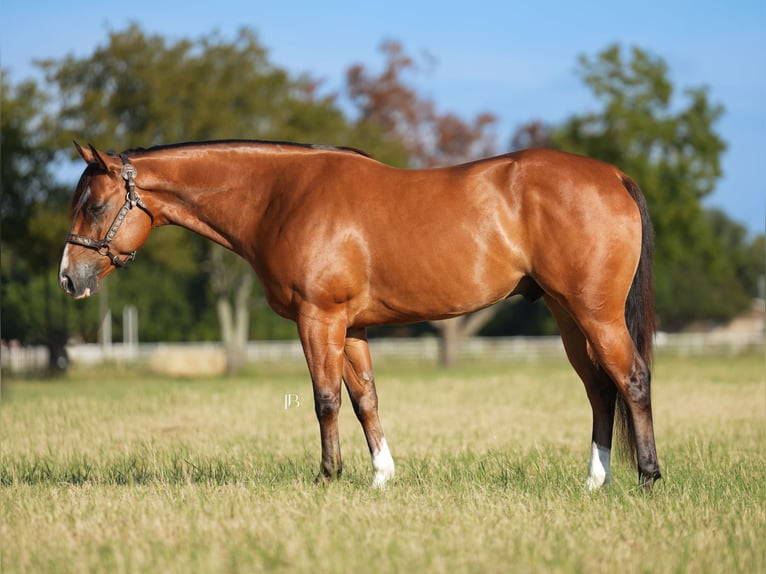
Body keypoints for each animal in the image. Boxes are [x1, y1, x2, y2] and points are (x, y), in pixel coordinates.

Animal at [59, 139, 661, 490]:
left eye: (94, 204)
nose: (69, 278)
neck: (281, 196)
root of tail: (613, 175)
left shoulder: (318, 319)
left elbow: (325, 399)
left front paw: (328, 477)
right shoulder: (353, 327)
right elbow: (365, 398)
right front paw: (380, 477)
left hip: (595, 314)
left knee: (631, 380)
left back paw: (648, 478)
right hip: (567, 316)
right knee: (599, 389)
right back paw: (596, 481)